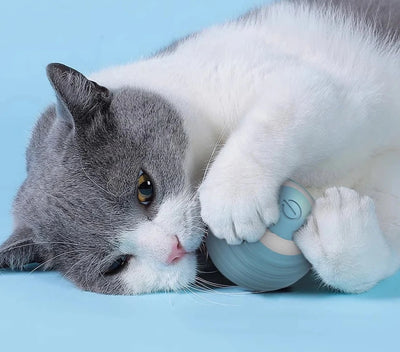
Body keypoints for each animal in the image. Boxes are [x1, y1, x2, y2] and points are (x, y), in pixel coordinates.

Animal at [0, 0, 400, 294]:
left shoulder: (305, 81)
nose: (173, 247)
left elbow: (281, 114)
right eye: (116, 264)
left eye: (145, 188)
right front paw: (339, 222)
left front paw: (233, 197)